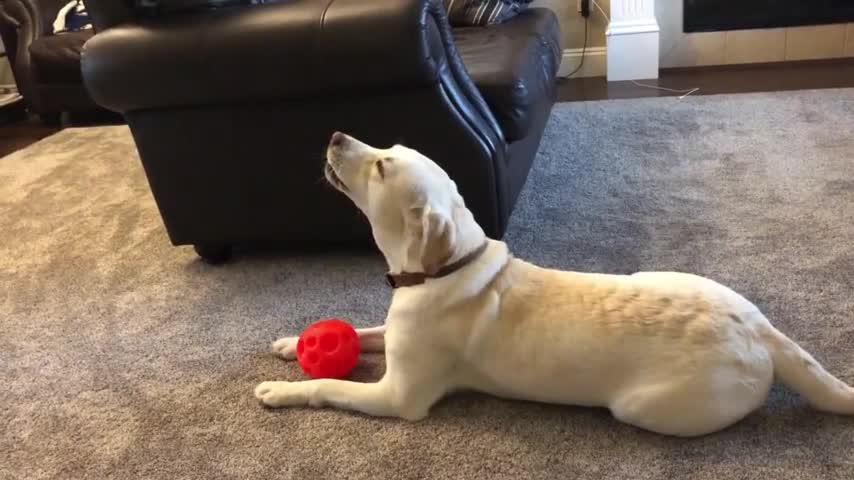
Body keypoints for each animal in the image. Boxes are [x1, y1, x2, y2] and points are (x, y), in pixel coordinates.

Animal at [256, 133, 854, 436]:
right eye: (387, 151)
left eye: (382, 166)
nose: (336, 135)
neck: (446, 267)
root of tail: (760, 329)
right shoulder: (394, 335)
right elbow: (365, 330)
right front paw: (290, 344)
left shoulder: (397, 396)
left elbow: (329, 386)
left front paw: (280, 390)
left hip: (645, 406)